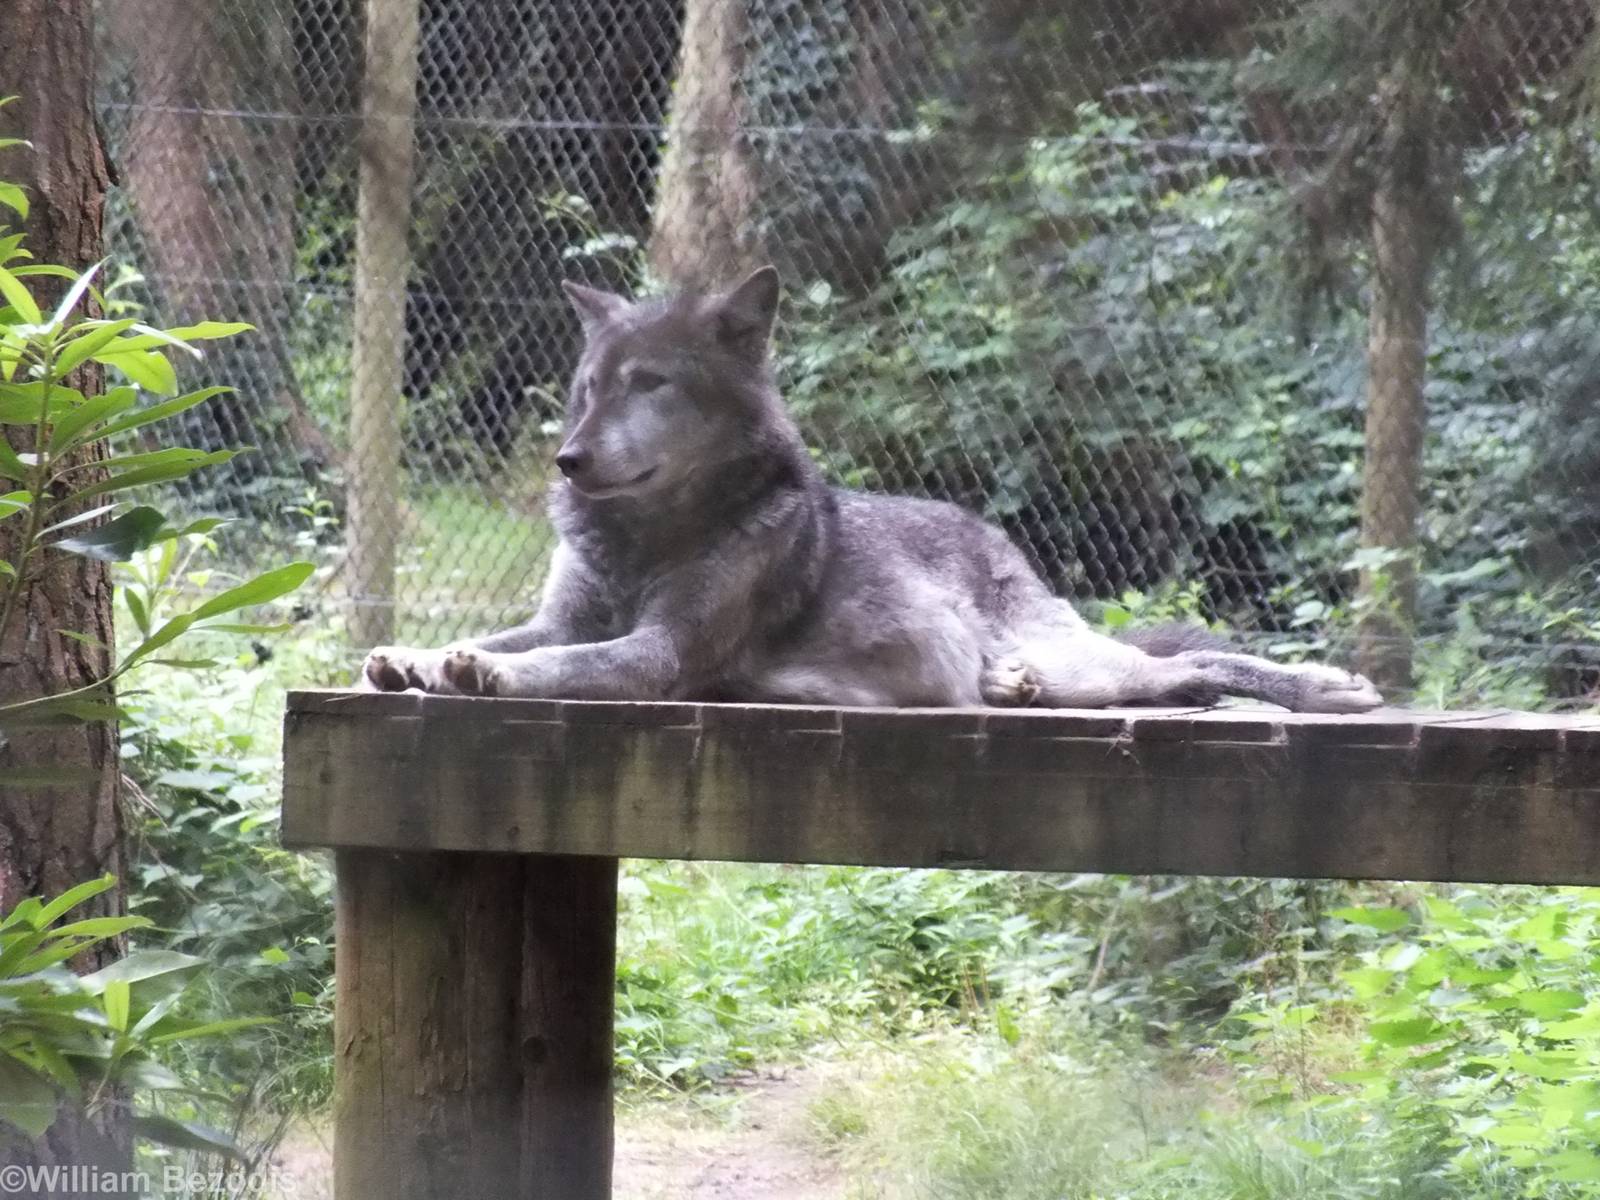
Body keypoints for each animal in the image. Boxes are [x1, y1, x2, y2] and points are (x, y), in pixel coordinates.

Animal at [360, 266, 1382, 714]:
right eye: (587, 391)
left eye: (650, 385)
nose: (568, 461)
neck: (646, 536)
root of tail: (998, 537)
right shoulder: (564, 616)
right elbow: (505, 635)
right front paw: (412, 655)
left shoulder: (660, 653)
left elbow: (556, 664)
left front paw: (482, 672)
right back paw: (1008, 686)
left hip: (1093, 661)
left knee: (1193, 666)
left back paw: (1327, 687)